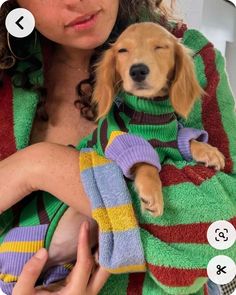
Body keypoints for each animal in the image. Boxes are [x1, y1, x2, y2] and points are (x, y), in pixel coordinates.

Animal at [91, 22, 224, 217]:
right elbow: (146, 163)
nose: (137, 71)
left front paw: (208, 150)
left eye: (160, 47)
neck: (151, 112)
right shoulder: (119, 140)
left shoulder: (173, 139)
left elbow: (188, 141)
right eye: (122, 50)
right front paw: (151, 191)